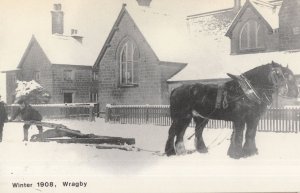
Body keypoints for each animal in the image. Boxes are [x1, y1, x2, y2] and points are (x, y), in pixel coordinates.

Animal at [165, 61, 298, 158]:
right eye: (280, 74)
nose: (294, 93)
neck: (247, 92)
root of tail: (175, 90)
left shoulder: (253, 118)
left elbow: (250, 134)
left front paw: (250, 153)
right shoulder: (240, 119)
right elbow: (238, 135)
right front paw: (236, 154)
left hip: (200, 118)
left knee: (193, 132)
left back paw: (196, 150)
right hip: (181, 117)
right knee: (174, 132)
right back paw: (172, 152)